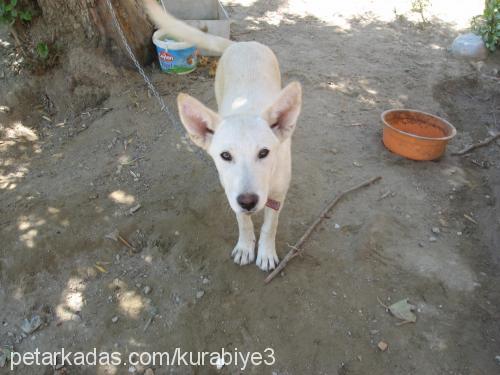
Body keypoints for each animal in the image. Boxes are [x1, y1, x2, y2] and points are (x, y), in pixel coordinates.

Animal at [144, 0, 300, 270]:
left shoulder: (278, 194)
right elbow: (243, 222)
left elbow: (270, 226)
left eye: (264, 153)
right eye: (225, 156)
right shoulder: (231, 190)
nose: (247, 201)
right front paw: (246, 247)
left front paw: (266, 252)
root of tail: (240, 44)